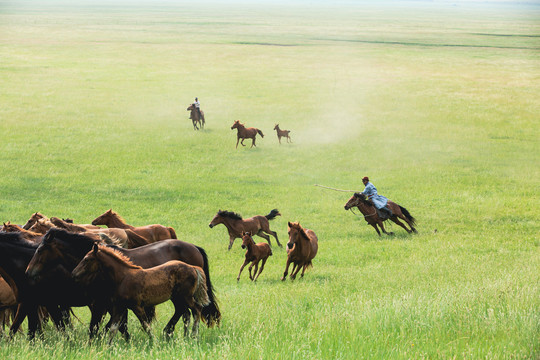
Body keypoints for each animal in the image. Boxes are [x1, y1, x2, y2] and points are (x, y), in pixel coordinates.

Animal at [73, 245, 211, 344]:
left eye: (87, 259)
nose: (74, 273)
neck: (123, 278)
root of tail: (193, 267)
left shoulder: (137, 306)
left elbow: (146, 326)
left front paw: (154, 343)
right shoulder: (119, 307)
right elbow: (114, 328)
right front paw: (108, 347)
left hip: (186, 296)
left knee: (197, 309)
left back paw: (193, 335)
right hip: (178, 297)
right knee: (186, 313)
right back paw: (185, 336)